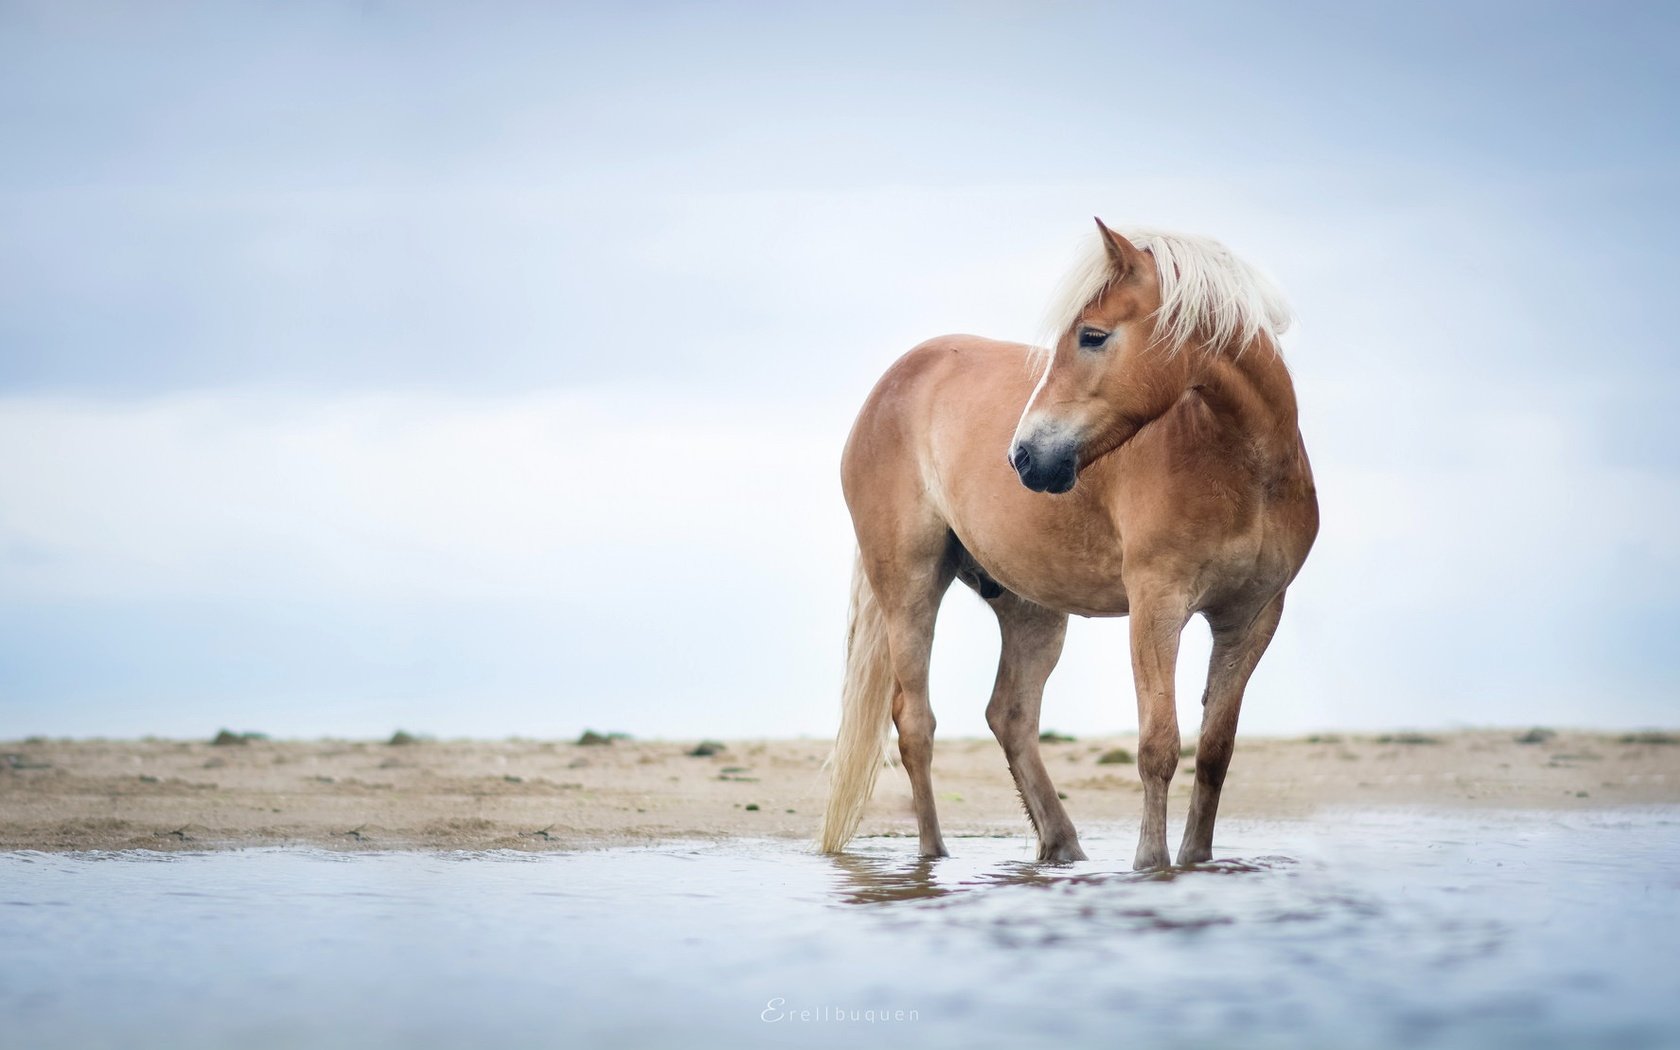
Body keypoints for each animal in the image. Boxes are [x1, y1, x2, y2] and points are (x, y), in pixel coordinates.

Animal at [819, 218, 1317, 866]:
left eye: (1092, 335)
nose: (1024, 458)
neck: (1243, 467)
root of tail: (893, 384)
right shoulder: (1157, 605)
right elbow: (1159, 744)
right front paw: (1150, 864)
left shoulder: (1252, 617)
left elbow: (1214, 752)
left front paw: (1195, 862)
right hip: (909, 585)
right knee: (916, 724)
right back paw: (935, 854)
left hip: (1030, 609)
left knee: (1010, 716)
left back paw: (1063, 846)